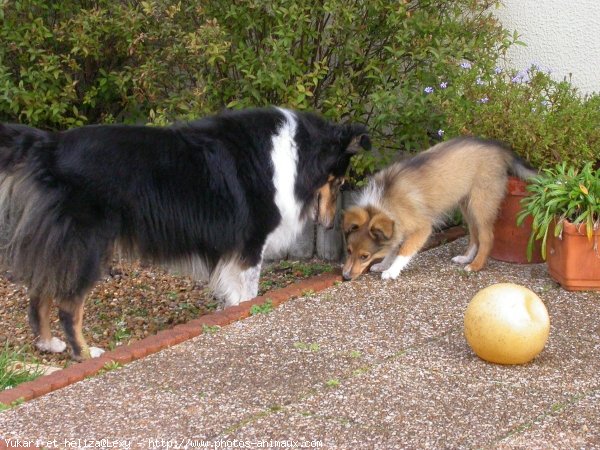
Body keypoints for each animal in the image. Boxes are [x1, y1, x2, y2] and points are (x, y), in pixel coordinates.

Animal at [0, 107, 368, 360]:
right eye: (338, 180)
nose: (331, 225)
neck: (295, 152)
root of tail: (50, 145)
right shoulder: (251, 243)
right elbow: (248, 292)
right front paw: (246, 315)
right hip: (88, 244)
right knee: (68, 304)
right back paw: (85, 353)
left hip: (63, 244)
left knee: (41, 291)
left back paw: (47, 344)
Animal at [342, 135, 536, 280]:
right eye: (348, 251)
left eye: (365, 256)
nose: (345, 277)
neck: (382, 205)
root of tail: (500, 149)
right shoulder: (399, 227)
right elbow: (393, 247)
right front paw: (384, 264)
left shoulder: (422, 228)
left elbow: (403, 250)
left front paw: (391, 271)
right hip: (466, 204)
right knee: (474, 234)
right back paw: (465, 258)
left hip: (481, 203)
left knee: (486, 237)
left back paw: (475, 265)